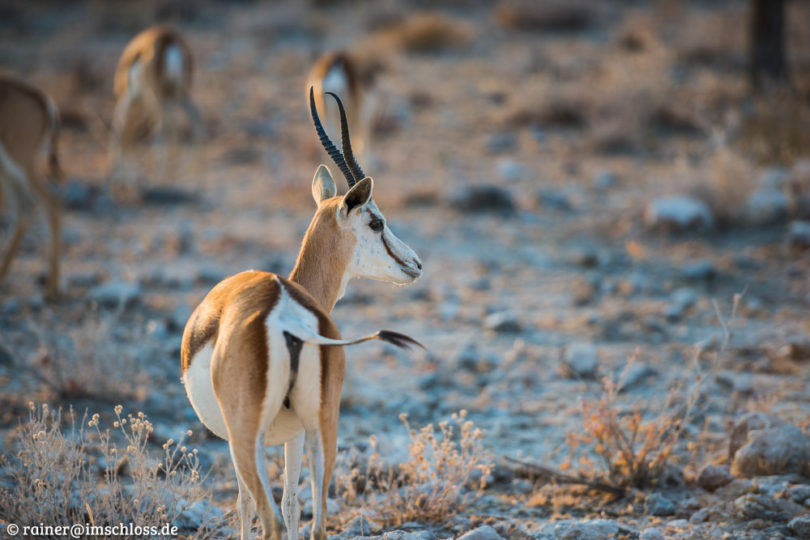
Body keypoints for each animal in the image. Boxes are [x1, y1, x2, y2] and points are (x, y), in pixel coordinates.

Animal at [0, 74, 63, 298]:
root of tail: (41, 98)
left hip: (19, 161)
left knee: (50, 202)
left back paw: (51, 288)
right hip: (8, 170)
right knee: (24, 209)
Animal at [109, 24, 202, 191]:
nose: (114, 181)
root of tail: (168, 38)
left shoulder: (127, 99)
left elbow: (119, 132)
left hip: (160, 99)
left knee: (162, 130)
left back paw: (162, 177)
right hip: (179, 94)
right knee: (194, 118)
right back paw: (196, 178)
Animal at [182, 88, 422, 540]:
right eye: (377, 222)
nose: (416, 263)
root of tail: (285, 317)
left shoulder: (240, 438)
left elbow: (248, 505)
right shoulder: (292, 433)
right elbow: (293, 505)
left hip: (252, 437)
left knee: (269, 516)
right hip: (320, 426)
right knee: (317, 521)